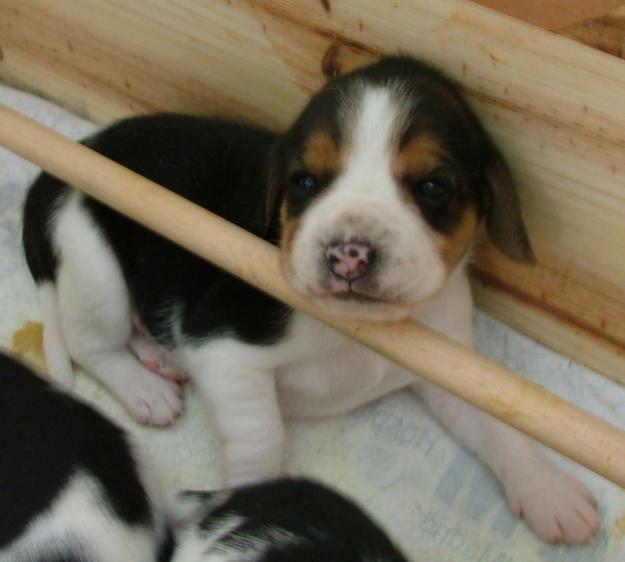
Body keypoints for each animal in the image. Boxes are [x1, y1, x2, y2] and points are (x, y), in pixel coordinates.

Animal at [23, 54, 600, 540]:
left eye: (433, 187)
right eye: (304, 181)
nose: (349, 254)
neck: (361, 330)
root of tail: (62, 168)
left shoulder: (453, 368)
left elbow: (500, 428)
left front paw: (548, 491)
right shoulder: (224, 347)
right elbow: (262, 435)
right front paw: (254, 502)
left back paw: (160, 360)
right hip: (93, 262)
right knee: (92, 345)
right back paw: (146, 389)